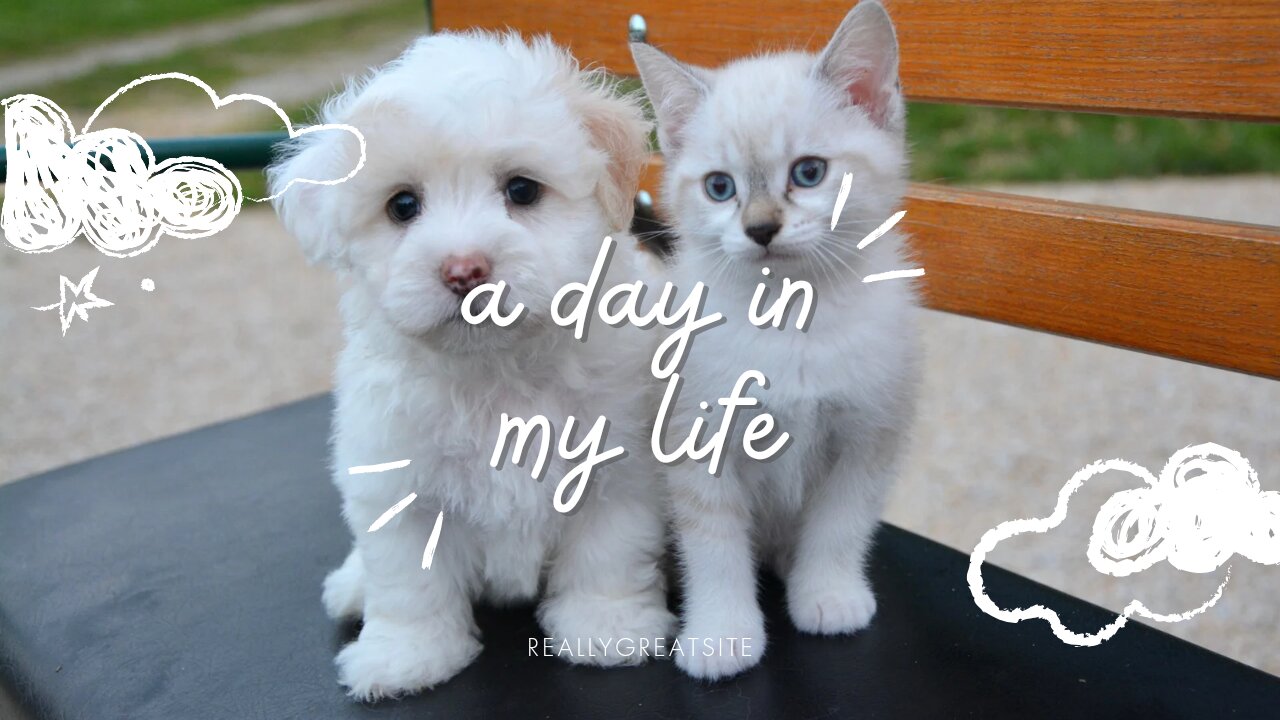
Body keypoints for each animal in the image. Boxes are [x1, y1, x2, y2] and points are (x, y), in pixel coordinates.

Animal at [266, 30, 675, 696]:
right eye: (402, 205)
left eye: (522, 190)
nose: (464, 270)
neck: (496, 371)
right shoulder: (397, 484)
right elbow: (408, 583)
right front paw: (406, 656)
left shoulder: (618, 469)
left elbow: (606, 553)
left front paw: (607, 627)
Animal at [632, 1, 921, 676]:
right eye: (719, 187)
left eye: (808, 173)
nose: (760, 228)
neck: (792, 320)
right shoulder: (694, 437)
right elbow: (713, 545)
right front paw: (721, 636)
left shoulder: (868, 435)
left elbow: (840, 525)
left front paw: (829, 594)